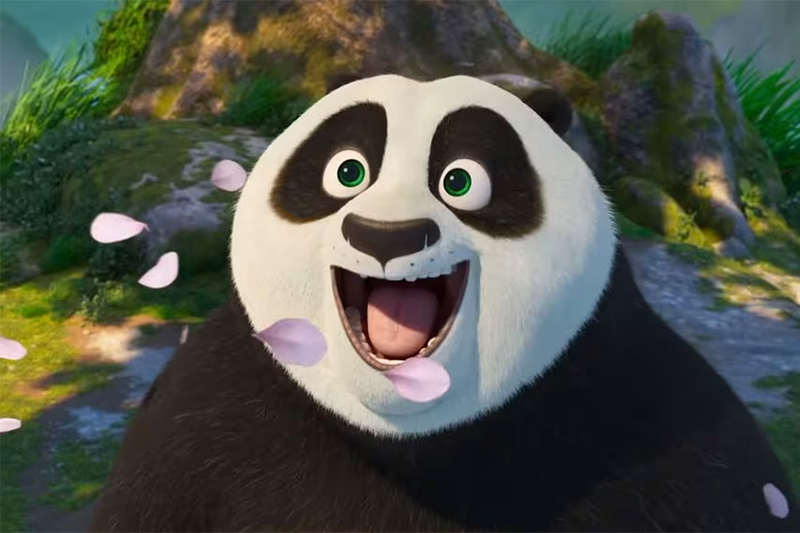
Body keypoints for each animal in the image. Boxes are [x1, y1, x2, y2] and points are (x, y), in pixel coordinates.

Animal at [91, 74, 798, 532]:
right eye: (347, 171)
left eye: (461, 180)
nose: (387, 236)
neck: (408, 431)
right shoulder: (204, 412)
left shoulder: (649, 408)